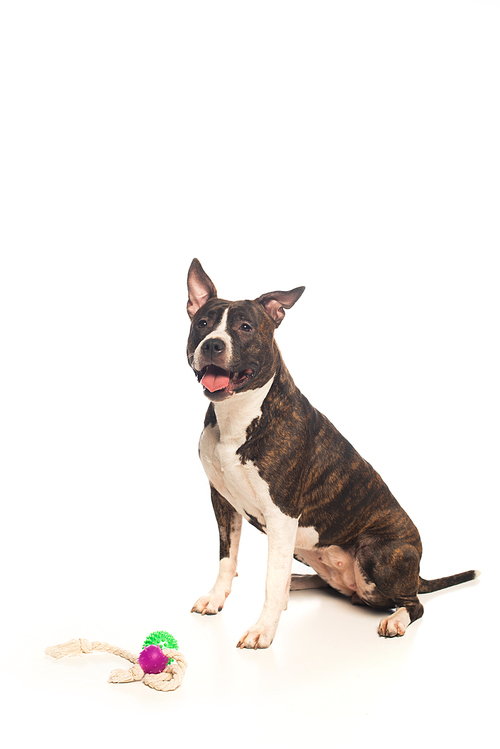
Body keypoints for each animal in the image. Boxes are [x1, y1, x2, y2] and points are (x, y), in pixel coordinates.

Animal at [186, 260, 478, 644]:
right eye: (202, 324)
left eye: (245, 327)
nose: (212, 344)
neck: (238, 415)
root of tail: (417, 571)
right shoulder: (222, 500)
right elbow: (227, 558)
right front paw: (216, 598)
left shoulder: (282, 514)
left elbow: (271, 577)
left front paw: (263, 630)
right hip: (306, 548)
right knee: (320, 582)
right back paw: (296, 585)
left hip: (377, 553)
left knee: (413, 603)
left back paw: (395, 619)